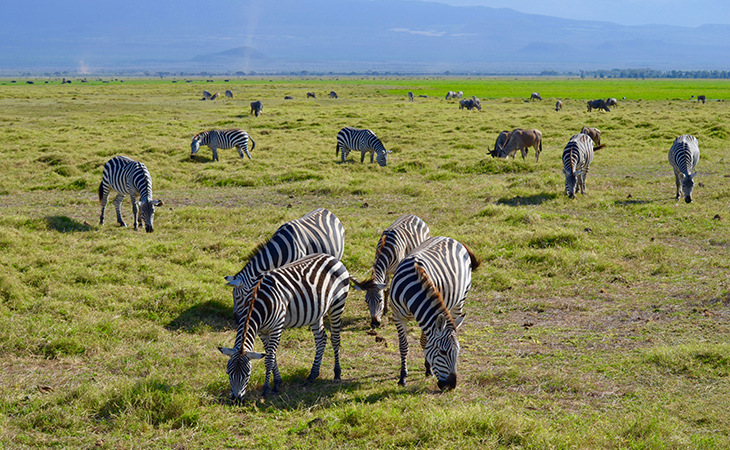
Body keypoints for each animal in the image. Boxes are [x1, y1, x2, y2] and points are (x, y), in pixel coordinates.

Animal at [218, 253, 348, 400]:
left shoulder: (276, 328)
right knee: (321, 338)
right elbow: (271, 356)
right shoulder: (262, 332)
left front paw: (267, 389)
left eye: (247, 374)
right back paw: (313, 375)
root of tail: (330, 257)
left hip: (337, 305)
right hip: (316, 312)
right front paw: (277, 382)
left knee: (335, 339)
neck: (257, 302)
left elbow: (269, 359)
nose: (236, 399)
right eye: (228, 373)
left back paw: (337, 373)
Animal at [386, 236, 478, 390]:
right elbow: (403, 346)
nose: (451, 386)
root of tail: (450, 238)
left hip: (460, 300)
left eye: (458, 352)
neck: (413, 291)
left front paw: (428, 369)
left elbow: (424, 342)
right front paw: (403, 377)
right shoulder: (398, 316)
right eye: (442, 352)